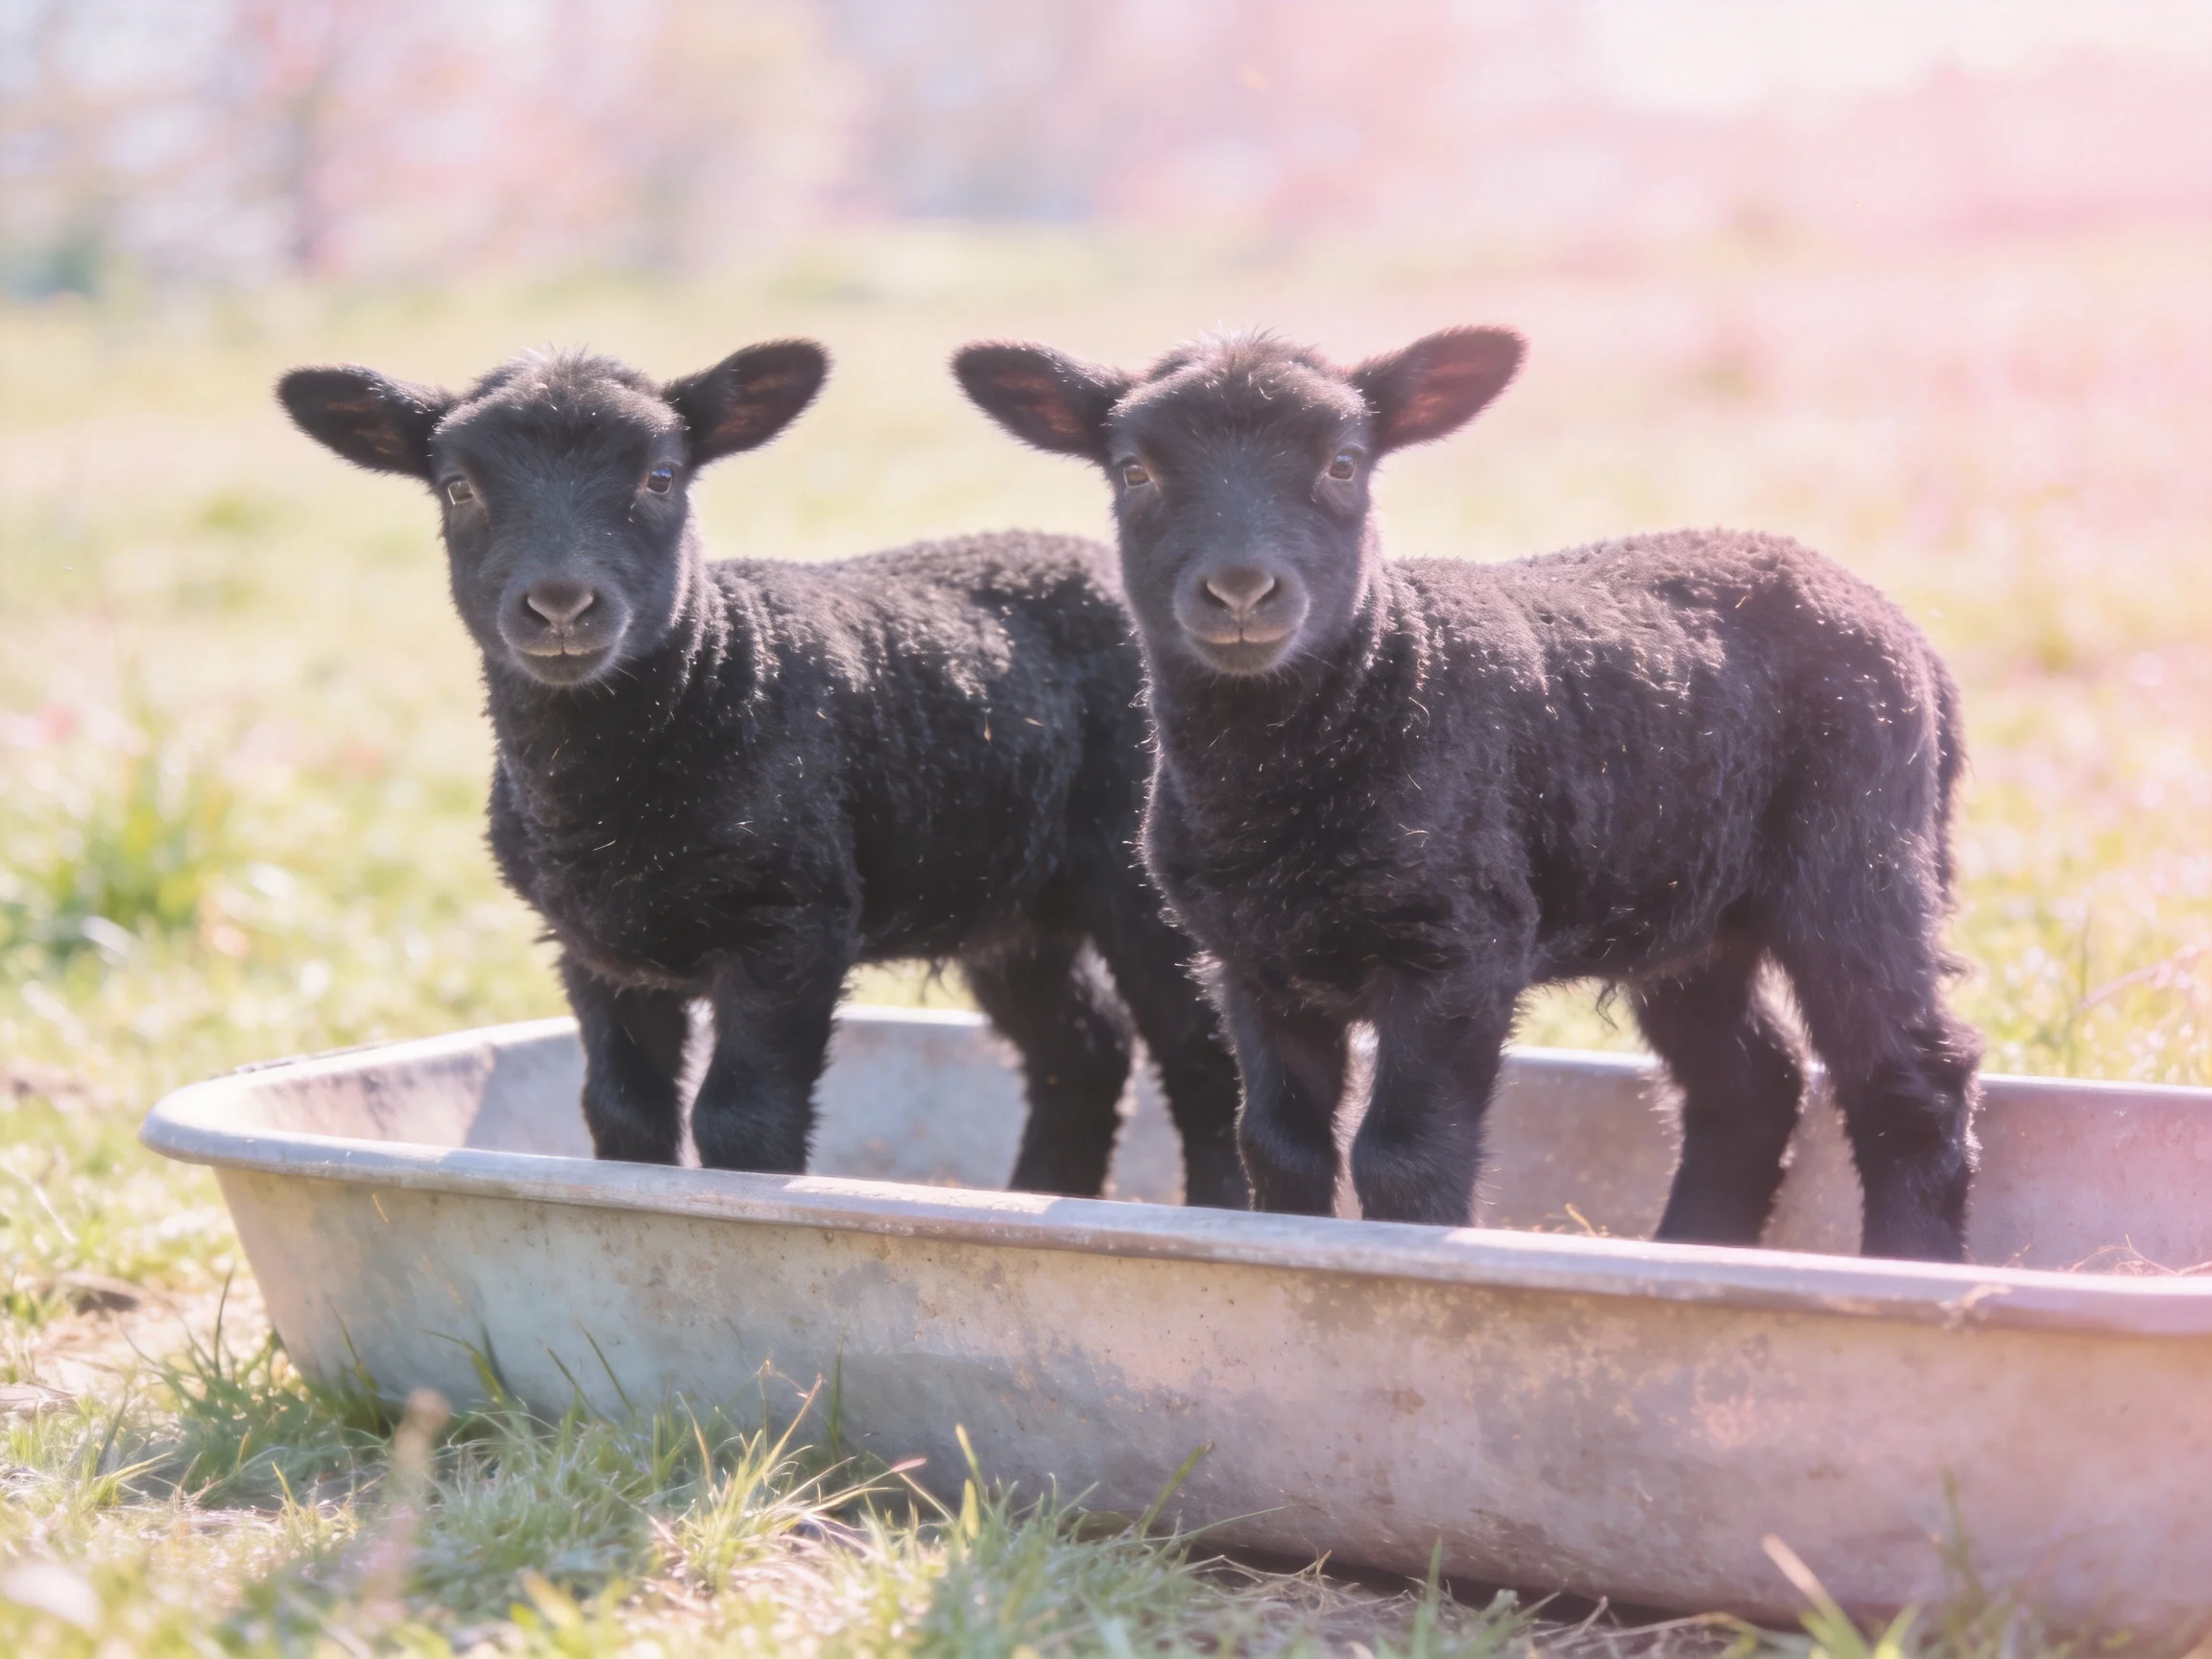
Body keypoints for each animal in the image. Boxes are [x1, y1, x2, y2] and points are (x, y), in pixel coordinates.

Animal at [275, 342, 1246, 1206]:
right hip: (1008, 897)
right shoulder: (590, 944)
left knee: (1202, 1060)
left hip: (1142, 884)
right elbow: (622, 1115)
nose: (559, 605)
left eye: (661, 477)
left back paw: (1219, 1211)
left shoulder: (796, 918)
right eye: (458, 487)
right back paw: (1043, 1194)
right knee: (1082, 1054)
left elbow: (740, 1120)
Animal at [954, 327, 1981, 1259]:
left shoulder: (1460, 946)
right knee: (1748, 1085)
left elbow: (1403, 1155)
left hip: (1859, 857)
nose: (1241, 590)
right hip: (1685, 904)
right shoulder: (1250, 961)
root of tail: (1910, 636)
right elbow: (1277, 1149)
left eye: (1343, 463)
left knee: (1911, 1079)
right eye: (1134, 471)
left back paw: (1910, 1269)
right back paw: (1695, 1247)